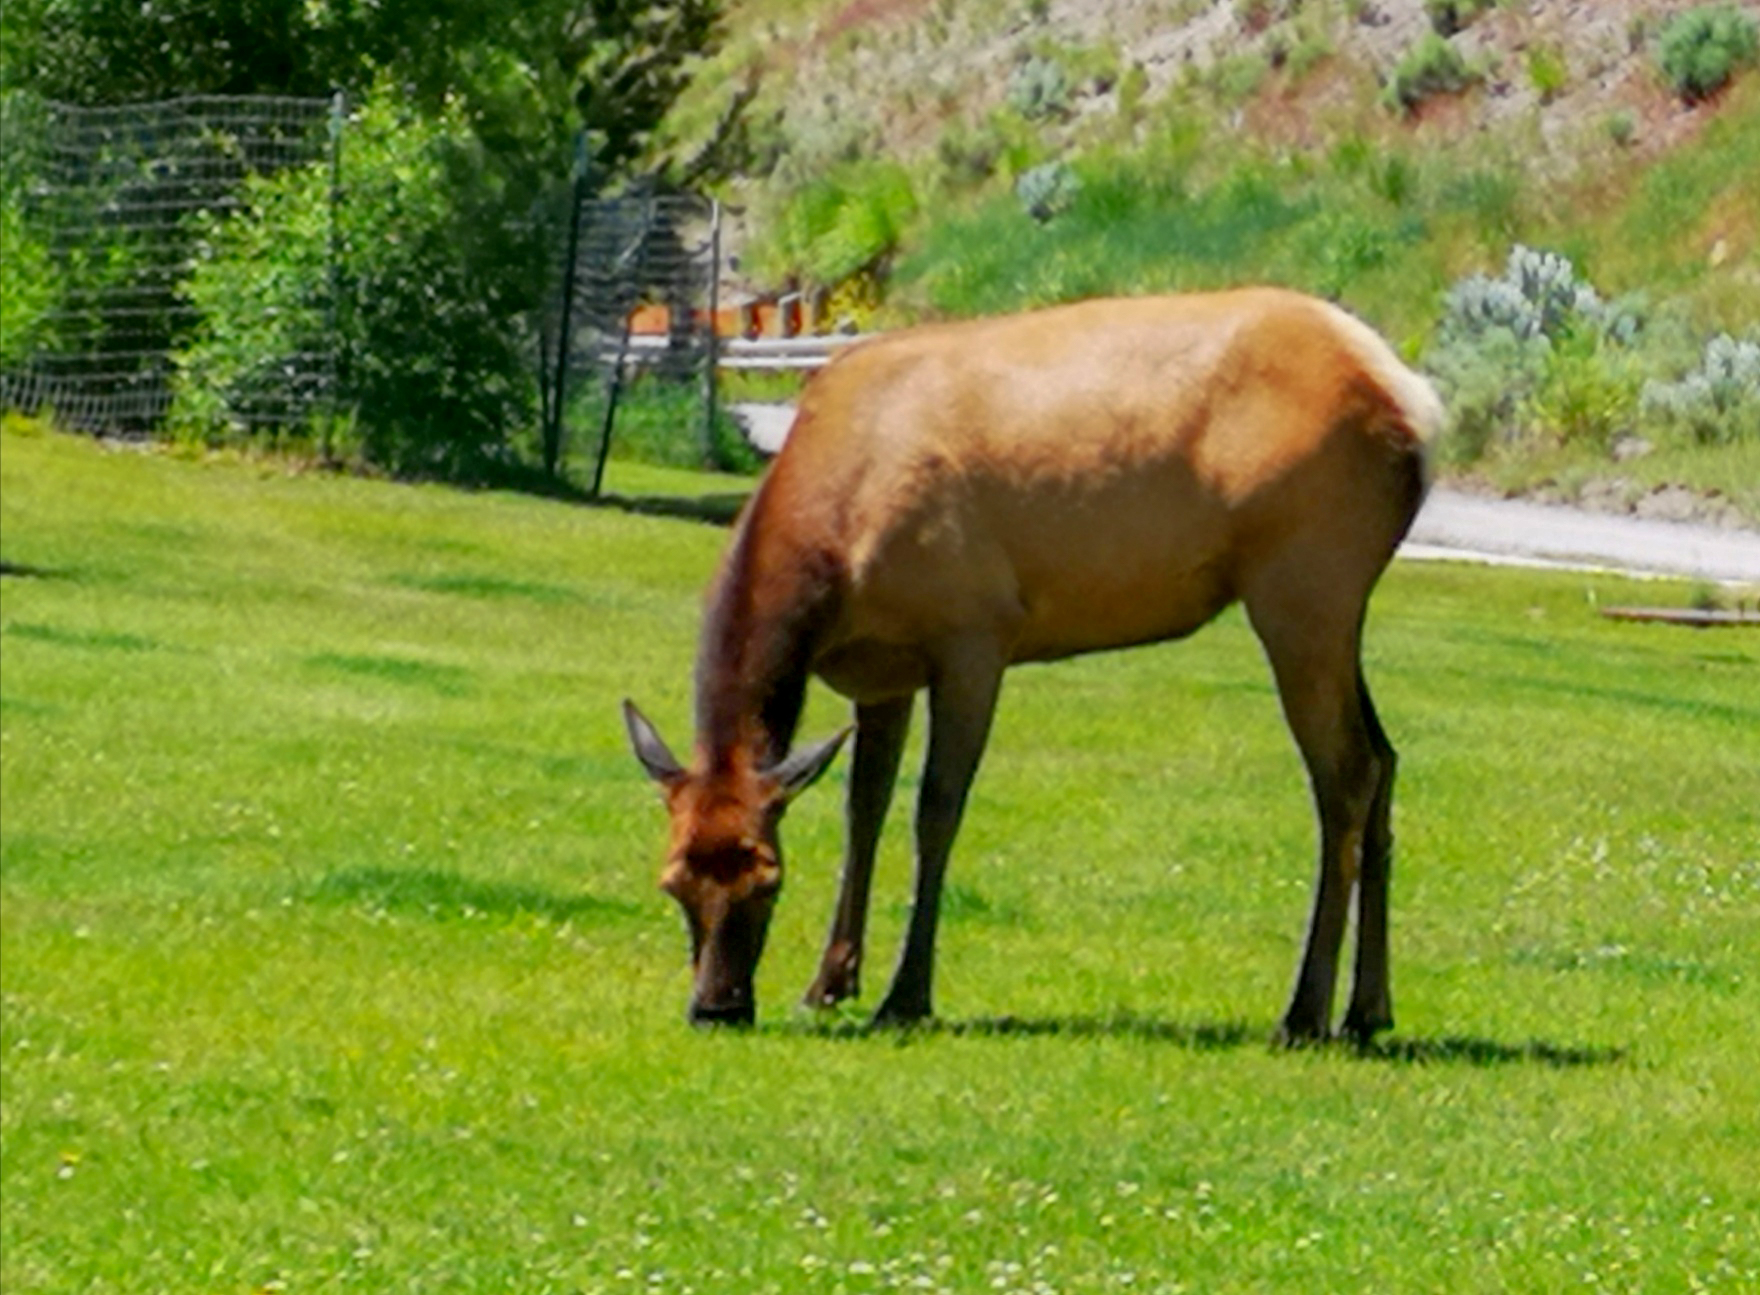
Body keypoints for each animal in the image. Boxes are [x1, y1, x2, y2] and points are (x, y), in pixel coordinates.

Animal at [623, 287, 1444, 1041]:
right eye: (673, 881)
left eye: (768, 876)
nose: (717, 1007)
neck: (834, 562)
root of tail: (1419, 408)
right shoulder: (884, 673)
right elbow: (866, 809)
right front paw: (829, 981)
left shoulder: (975, 634)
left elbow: (935, 809)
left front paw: (905, 995)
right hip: (1334, 606)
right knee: (1385, 757)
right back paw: (1369, 1009)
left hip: (1302, 583)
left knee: (1345, 773)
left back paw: (1305, 1012)